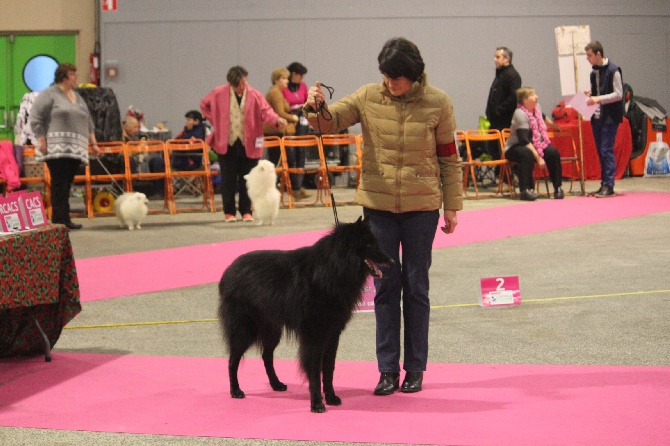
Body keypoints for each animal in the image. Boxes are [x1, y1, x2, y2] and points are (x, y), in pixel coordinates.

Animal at [219, 218, 394, 412]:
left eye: (376, 241)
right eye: (369, 244)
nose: (393, 261)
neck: (332, 269)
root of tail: (229, 270)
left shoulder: (332, 335)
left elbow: (329, 368)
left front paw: (331, 397)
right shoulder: (313, 336)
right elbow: (314, 370)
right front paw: (317, 402)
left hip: (273, 330)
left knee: (266, 356)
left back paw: (276, 384)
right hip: (245, 331)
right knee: (232, 360)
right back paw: (235, 390)